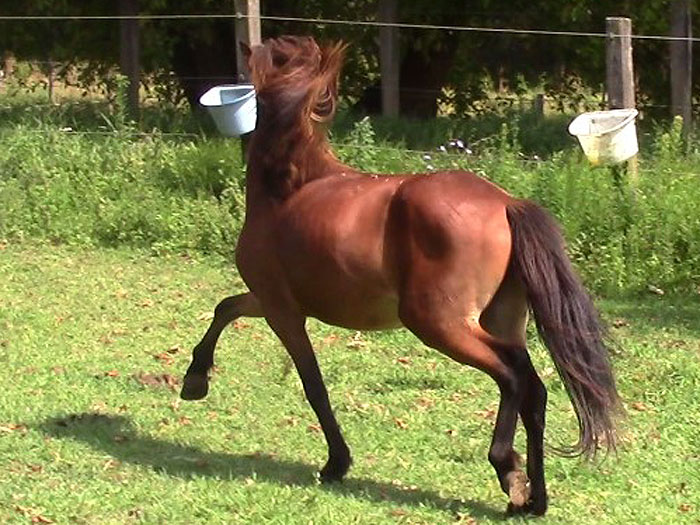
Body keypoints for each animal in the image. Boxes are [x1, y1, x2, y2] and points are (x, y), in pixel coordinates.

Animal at [180, 35, 620, 516]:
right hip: (500, 320)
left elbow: (313, 385)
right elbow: (226, 308)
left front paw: (336, 463)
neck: (289, 186)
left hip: (440, 323)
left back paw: (507, 469)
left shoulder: (283, 311)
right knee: (534, 390)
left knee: (512, 377)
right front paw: (195, 379)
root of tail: (507, 203)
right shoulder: (270, 298)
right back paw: (532, 499)